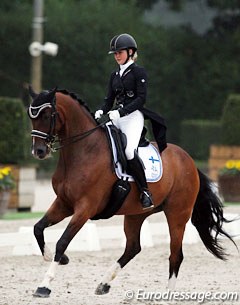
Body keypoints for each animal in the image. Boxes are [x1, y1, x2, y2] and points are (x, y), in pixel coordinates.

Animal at [27, 86, 234, 296]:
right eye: (31, 116)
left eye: (47, 115)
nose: (39, 152)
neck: (83, 151)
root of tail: (188, 159)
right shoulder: (64, 203)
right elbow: (38, 228)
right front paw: (56, 258)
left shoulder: (85, 208)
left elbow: (63, 241)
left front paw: (44, 285)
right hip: (136, 214)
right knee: (133, 247)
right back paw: (104, 284)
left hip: (177, 214)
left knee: (176, 254)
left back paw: (167, 294)